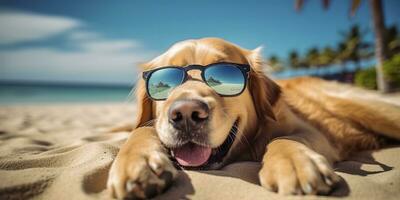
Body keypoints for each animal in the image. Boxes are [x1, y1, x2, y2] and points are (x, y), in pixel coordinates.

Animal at [106, 37, 400, 198]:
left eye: (224, 75)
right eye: (165, 80)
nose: (187, 113)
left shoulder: (312, 132)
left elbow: (283, 139)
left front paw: (295, 164)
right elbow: (140, 130)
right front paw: (137, 163)